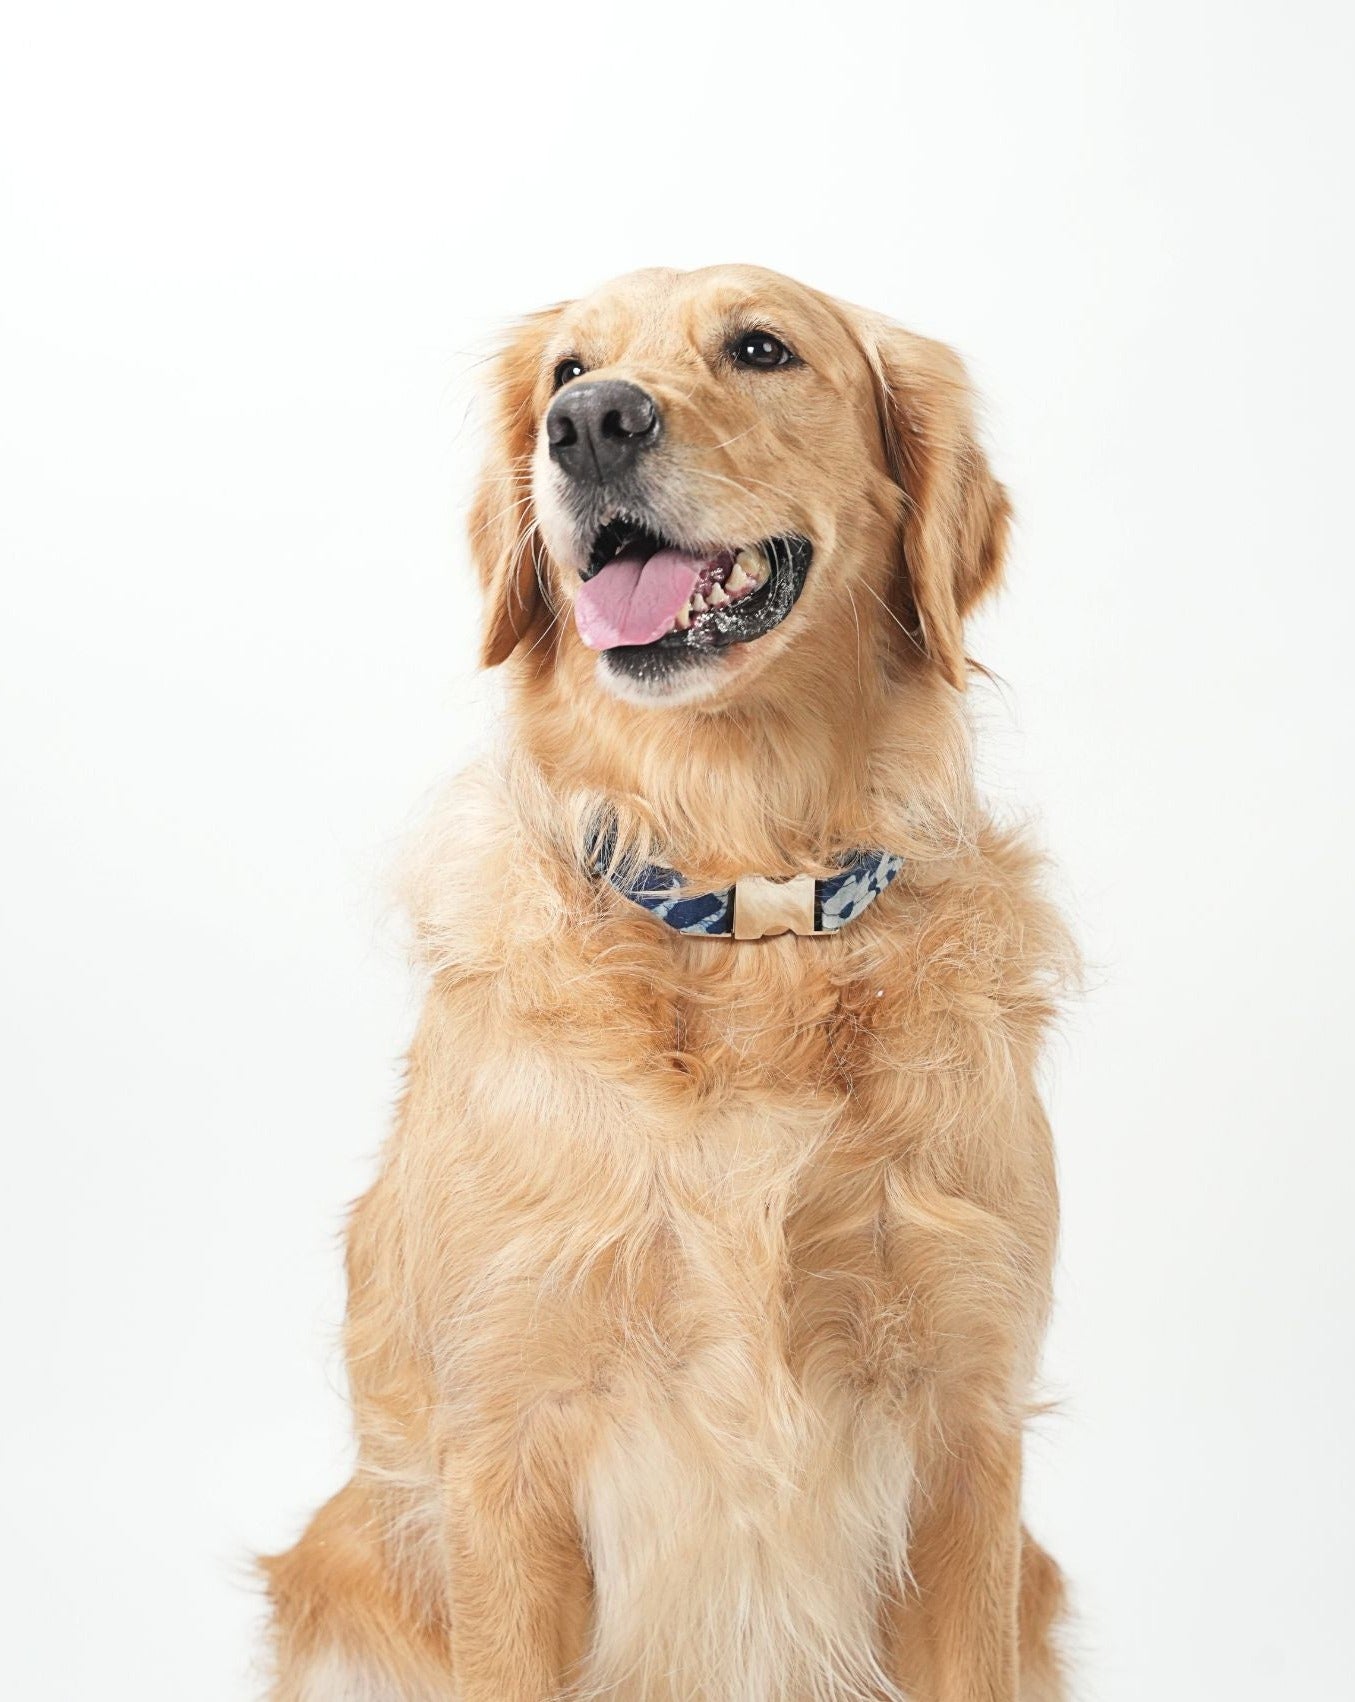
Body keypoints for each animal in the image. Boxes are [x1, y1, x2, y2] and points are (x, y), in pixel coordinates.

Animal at [262, 265, 1069, 1702]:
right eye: (568, 367)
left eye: (761, 349)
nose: (588, 425)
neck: (741, 911)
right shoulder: (508, 1449)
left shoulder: (966, 1432)